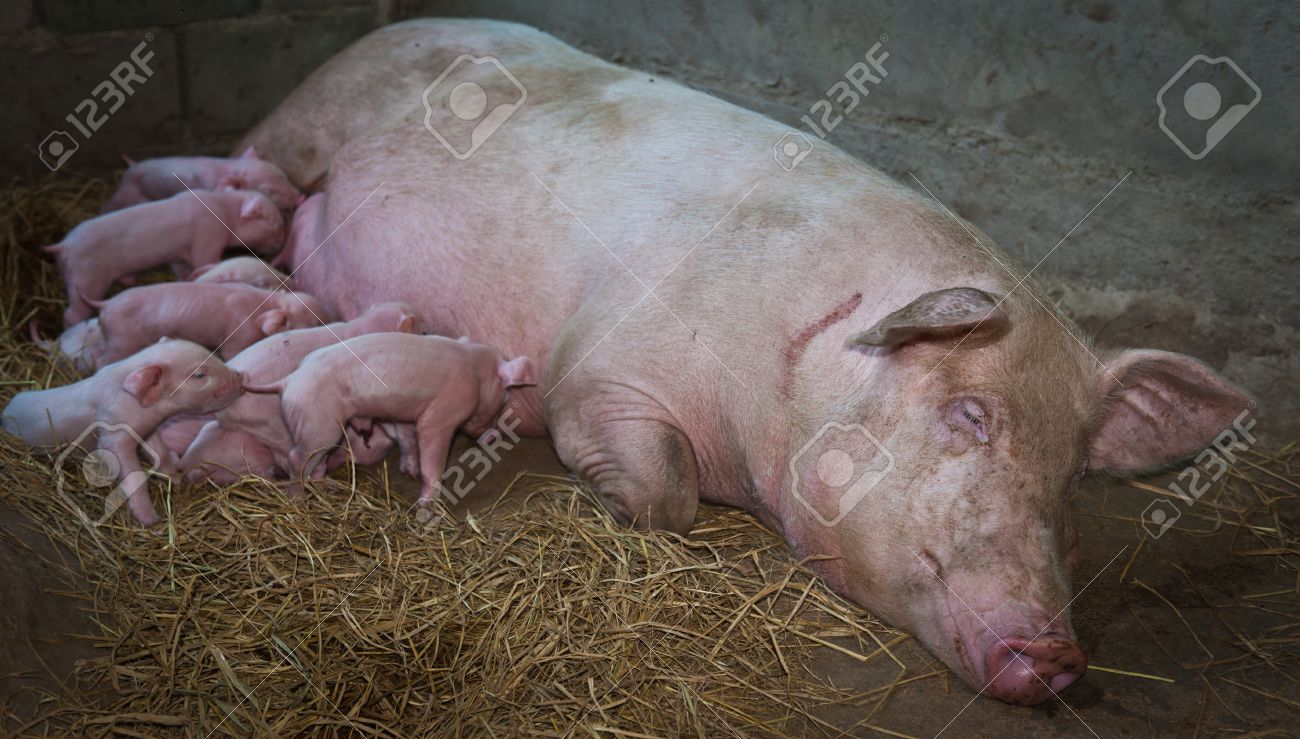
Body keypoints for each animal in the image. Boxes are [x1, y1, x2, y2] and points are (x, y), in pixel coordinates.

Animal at [0, 339, 244, 526]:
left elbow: (160, 452)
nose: (240, 376)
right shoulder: (113, 434)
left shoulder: (145, 430)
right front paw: (151, 521)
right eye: (200, 374)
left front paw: (177, 478)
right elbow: (134, 475)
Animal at [48, 189, 287, 325]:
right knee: (72, 313)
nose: (283, 239)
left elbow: (184, 271)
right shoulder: (207, 236)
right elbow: (206, 260)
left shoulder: (180, 255)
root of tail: (63, 246)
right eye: (272, 220)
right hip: (87, 277)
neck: (223, 211)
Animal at [86, 283, 327, 367]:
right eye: (313, 322)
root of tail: (106, 303)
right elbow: (231, 354)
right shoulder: (236, 336)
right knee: (102, 360)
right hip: (122, 339)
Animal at [242, 333, 536, 503]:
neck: (474, 369)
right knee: (296, 458)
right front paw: (428, 506)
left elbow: (406, 439)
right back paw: (296, 500)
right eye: (505, 396)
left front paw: (410, 471)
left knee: (318, 463)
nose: (489, 434)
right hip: (317, 422)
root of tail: (288, 380)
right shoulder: (441, 413)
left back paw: (329, 489)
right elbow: (431, 450)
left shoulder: (403, 410)